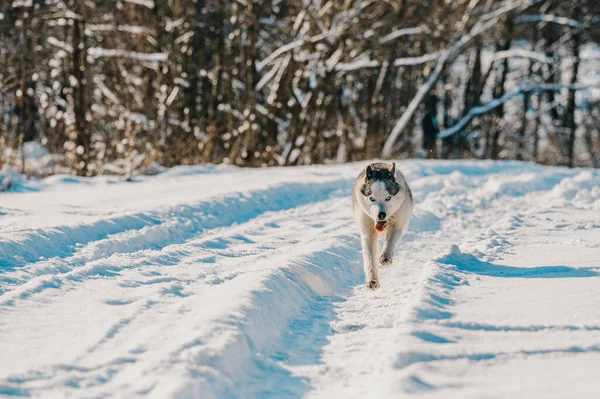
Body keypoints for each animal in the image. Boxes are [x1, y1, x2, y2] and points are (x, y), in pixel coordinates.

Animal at [352, 162, 412, 290]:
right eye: (372, 198)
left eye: (388, 198)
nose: (381, 215)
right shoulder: (368, 234)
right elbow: (370, 258)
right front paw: (372, 280)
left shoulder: (398, 226)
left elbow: (390, 242)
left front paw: (385, 256)